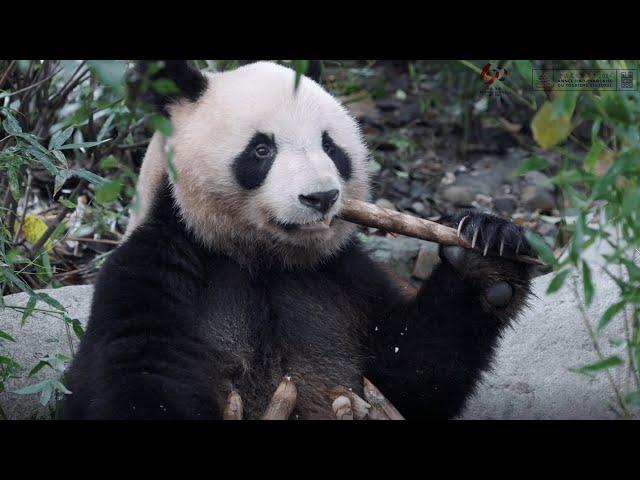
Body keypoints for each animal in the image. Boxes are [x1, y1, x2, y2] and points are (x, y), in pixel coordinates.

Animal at [62, 61, 536, 420]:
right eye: (261, 150)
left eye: (331, 146)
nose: (320, 197)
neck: (263, 260)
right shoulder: (159, 266)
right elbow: (134, 374)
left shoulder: (342, 277)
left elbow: (412, 374)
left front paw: (487, 254)